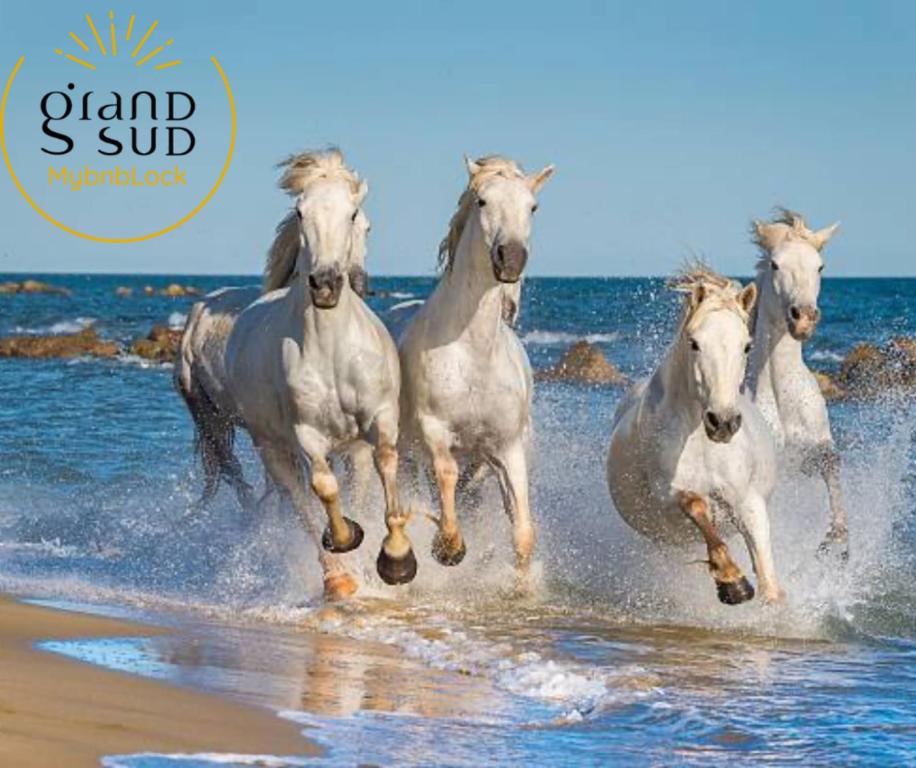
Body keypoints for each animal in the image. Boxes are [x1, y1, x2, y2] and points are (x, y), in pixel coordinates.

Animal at [174, 147, 408, 596]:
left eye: (357, 216)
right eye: (301, 213)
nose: (329, 284)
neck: (332, 350)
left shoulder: (374, 426)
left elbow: (383, 470)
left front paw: (397, 559)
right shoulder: (306, 435)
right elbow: (324, 492)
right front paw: (347, 547)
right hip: (244, 437)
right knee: (278, 492)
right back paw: (336, 576)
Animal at [398, 156, 552, 588]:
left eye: (533, 207)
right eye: (482, 201)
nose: (511, 259)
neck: (474, 354)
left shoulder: (506, 448)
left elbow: (522, 531)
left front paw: (521, 588)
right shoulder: (434, 433)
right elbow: (445, 477)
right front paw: (448, 548)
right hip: (407, 454)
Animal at [604, 268, 784, 604]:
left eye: (747, 346)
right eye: (695, 343)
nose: (723, 422)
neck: (701, 440)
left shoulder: (747, 500)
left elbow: (768, 577)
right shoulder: (668, 493)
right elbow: (697, 505)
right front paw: (732, 581)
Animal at [748, 208, 848, 560]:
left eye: (820, 266)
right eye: (775, 265)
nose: (803, 317)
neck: (782, 398)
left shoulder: (814, 447)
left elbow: (831, 463)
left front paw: (837, 538)